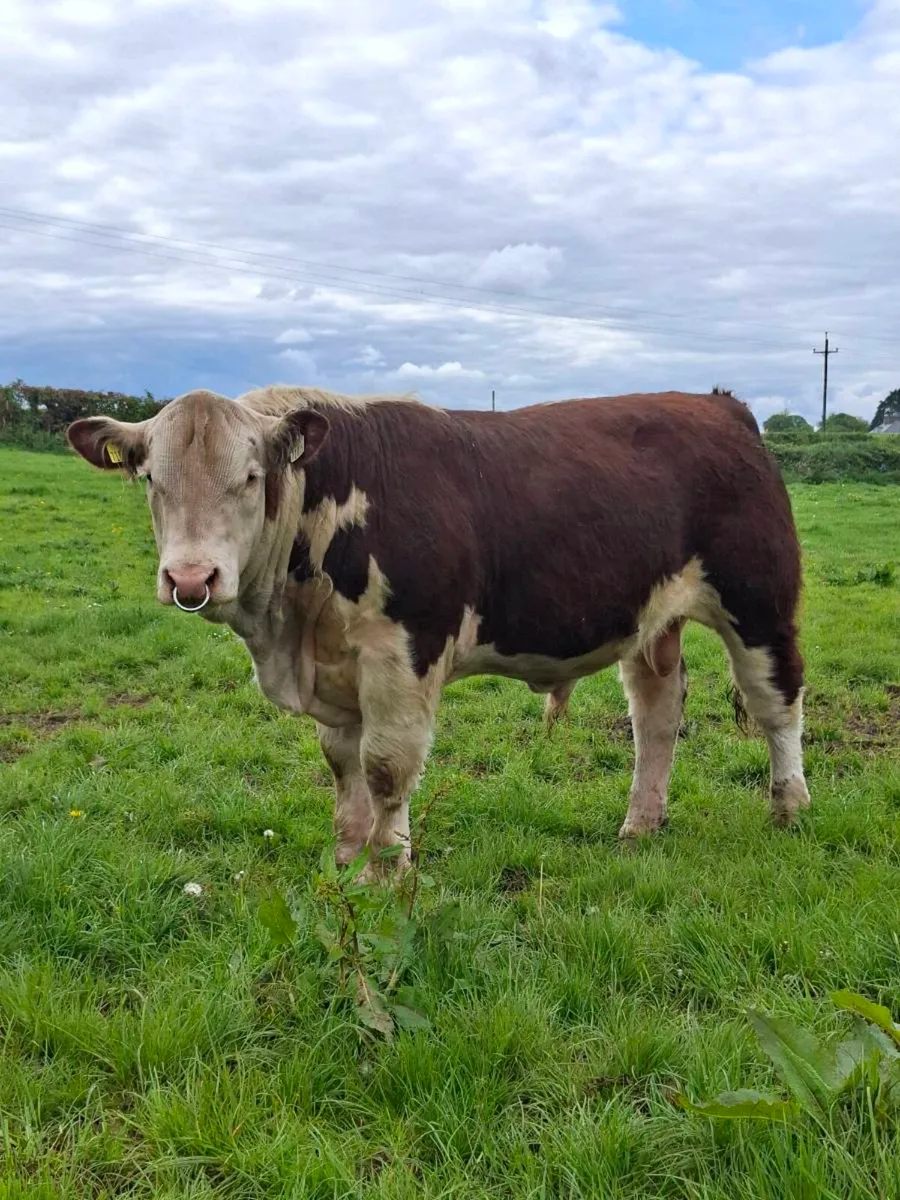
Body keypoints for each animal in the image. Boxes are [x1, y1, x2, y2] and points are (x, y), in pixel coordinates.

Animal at [66, 385, 810, 875]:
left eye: (250, 477)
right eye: (151, 479)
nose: (191, 578)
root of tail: (716, 404)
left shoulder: (404, 653)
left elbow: (386, 768)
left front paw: (389, 871)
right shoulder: (336, 672)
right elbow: (343, 768)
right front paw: (348, 861)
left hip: (760, 602)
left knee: (777, 704)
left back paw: (789, 808)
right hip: (652, 620)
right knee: (657, 715)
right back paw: (640, 825)